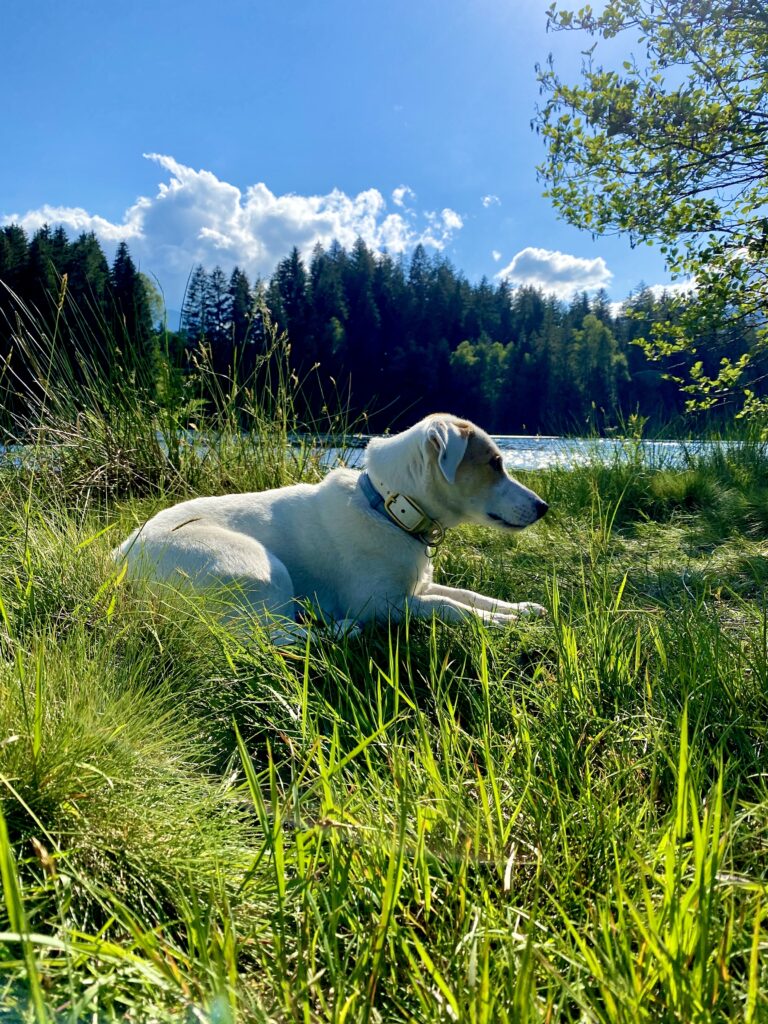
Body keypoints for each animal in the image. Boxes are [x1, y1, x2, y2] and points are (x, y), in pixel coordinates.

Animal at [112, 413, 548, 638]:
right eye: (495, 463)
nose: (544, 507)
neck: (389, 510)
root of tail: (119, 559)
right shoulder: (382, 603)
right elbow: (449, 606)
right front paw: (502, 622)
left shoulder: (416, 588)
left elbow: (466, 594)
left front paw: (519, 609)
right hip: (259, 568)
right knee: (280, 639)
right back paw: (338, 630)